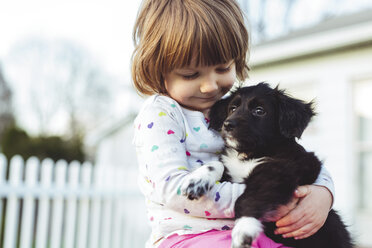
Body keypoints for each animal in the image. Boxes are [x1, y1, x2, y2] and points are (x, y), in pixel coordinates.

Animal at [182, 83, 354, 248]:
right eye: (233, 108)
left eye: (259, 111)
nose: (228, 124)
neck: (249, 153)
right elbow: (217, 163)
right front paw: (196, 181)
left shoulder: (279, 173)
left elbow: (248, 198)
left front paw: (244, 229)